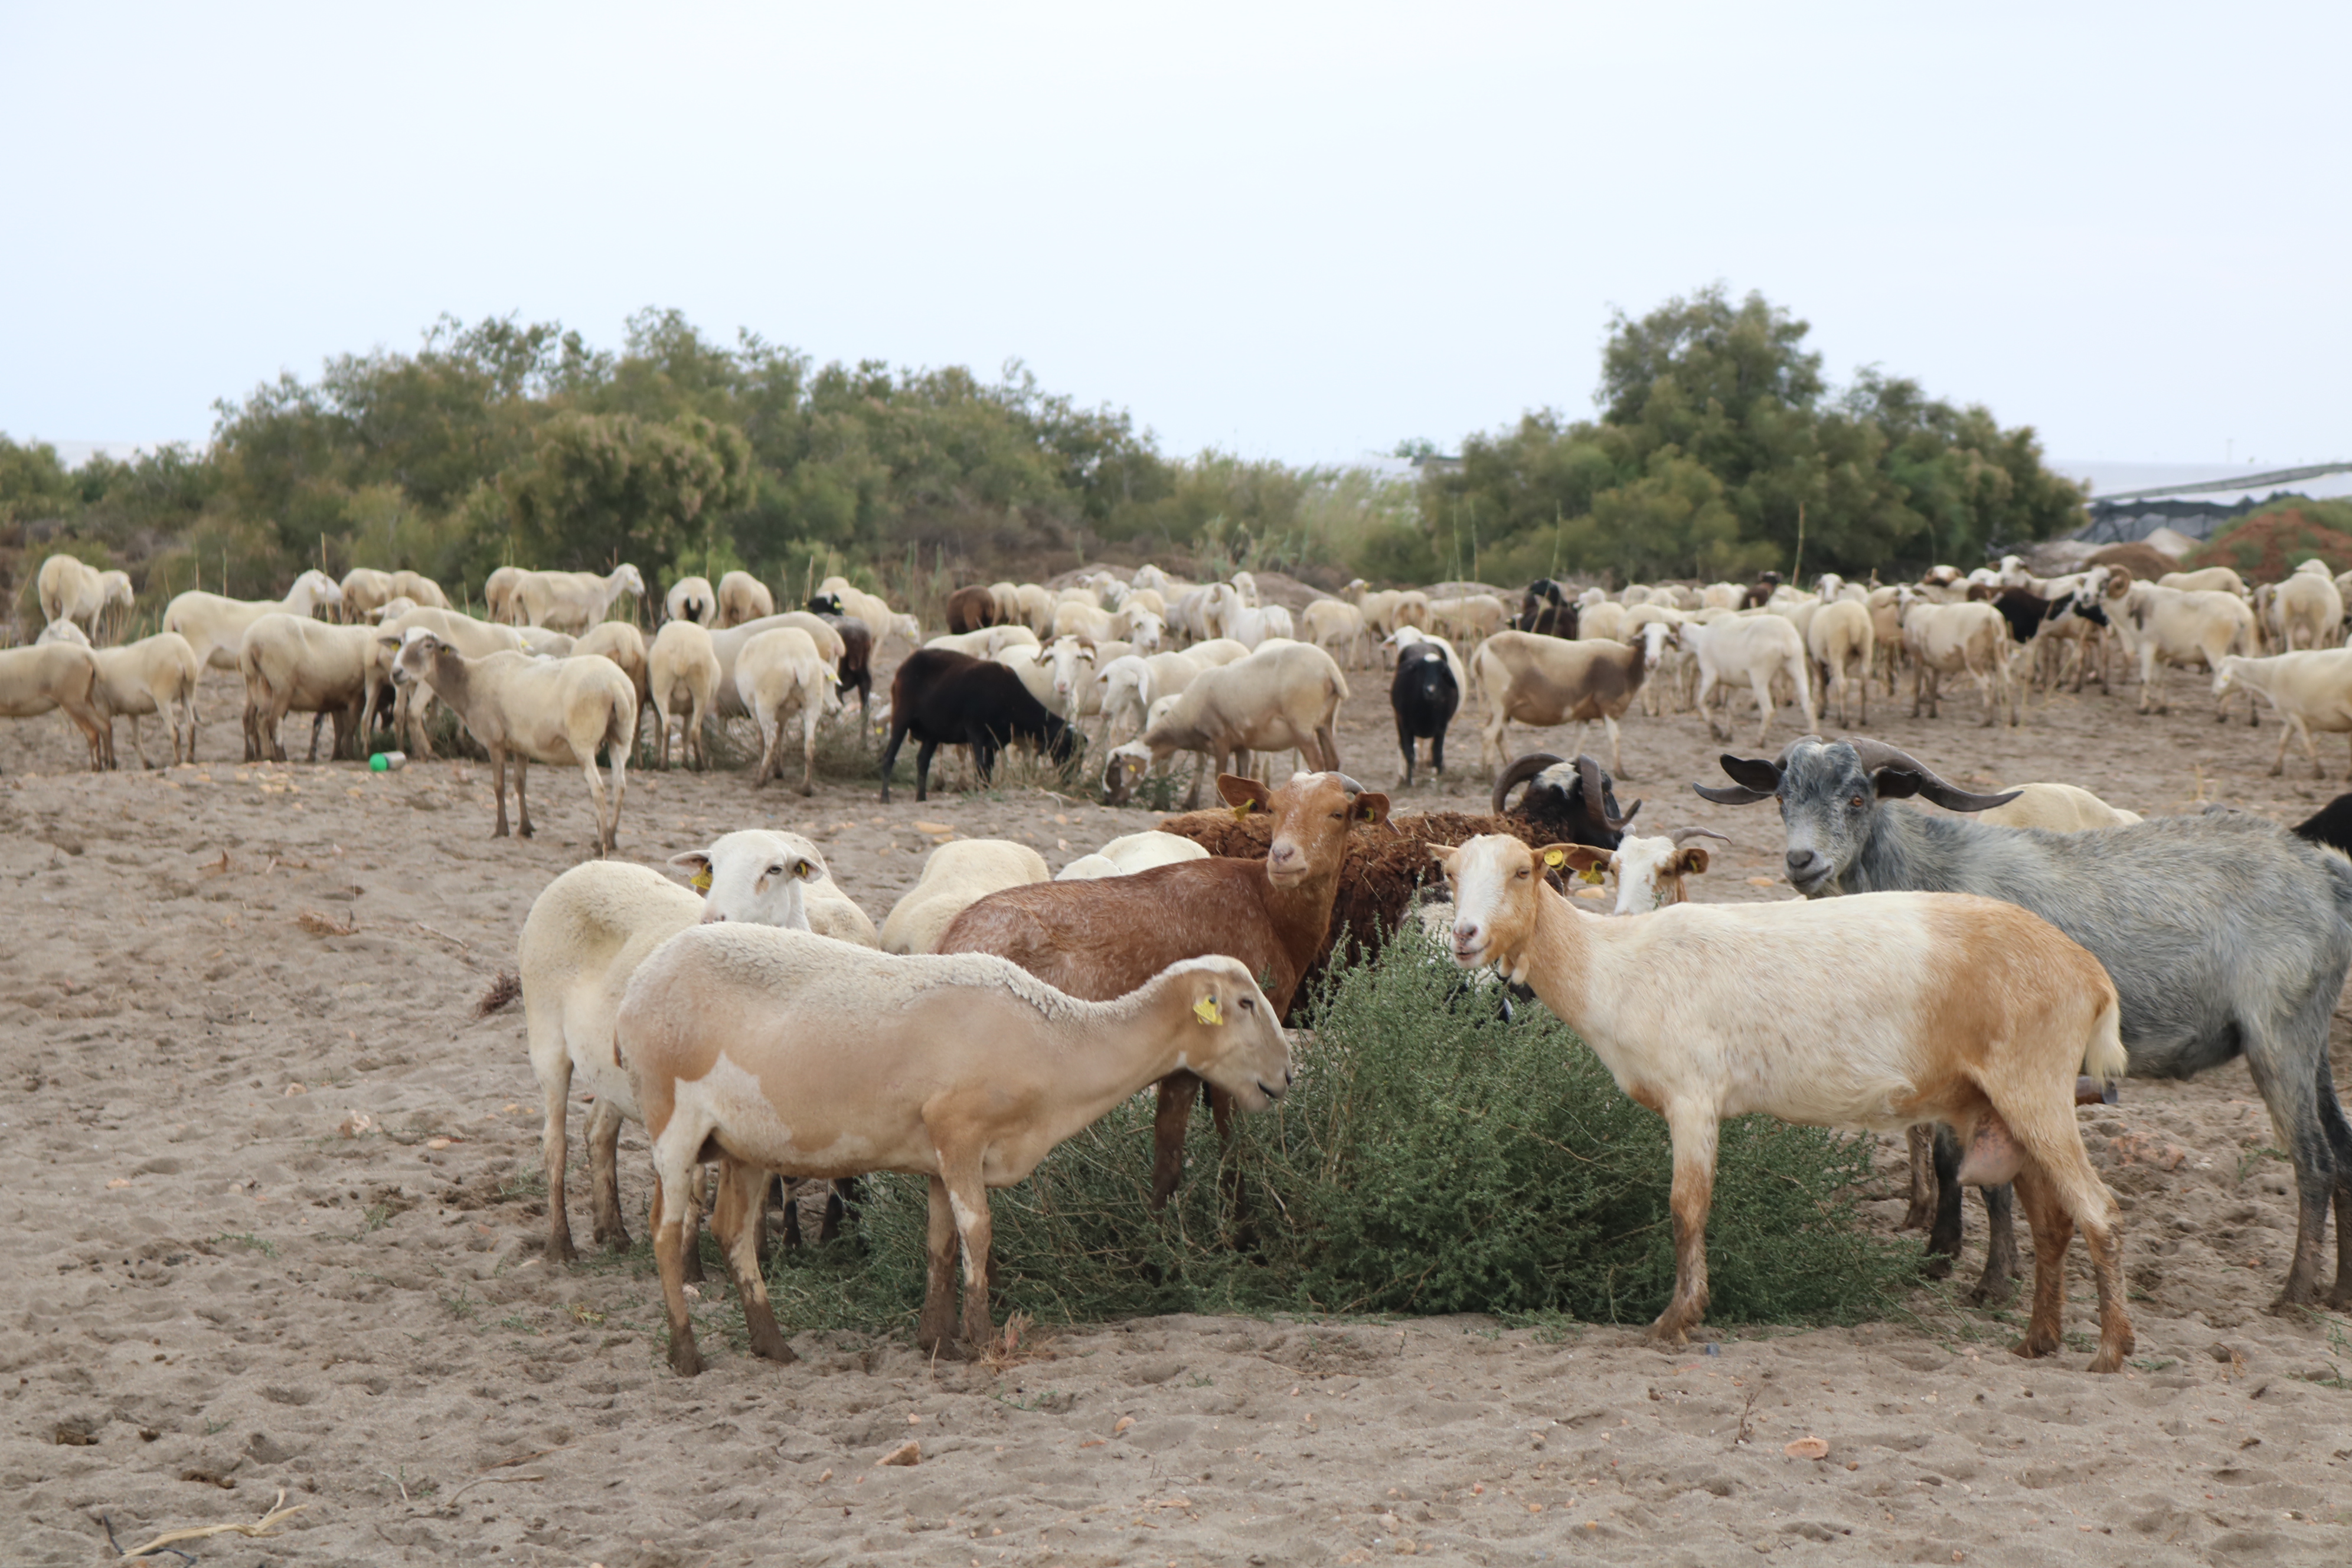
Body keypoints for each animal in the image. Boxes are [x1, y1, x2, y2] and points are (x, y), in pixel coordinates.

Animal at [1434, 832, 2133, 1370]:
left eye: (1523, 871)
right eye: (1449, 875)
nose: (1466, 935)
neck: (1614, 966)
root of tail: (2092, 975)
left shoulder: (1693, 1094)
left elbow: (1686, 1208)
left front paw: (1675, 1320)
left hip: (2033, 1085)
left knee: (2099, 1209)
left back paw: (2110, 1350)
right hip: (2009, 1106)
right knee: (2054, 1221)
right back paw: (2038, 1341)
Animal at [1696, 735, 2352, 1309]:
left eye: (1858, 798)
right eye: (1783, 798)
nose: (1801, 861)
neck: (1928, 884)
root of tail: (2325, 877)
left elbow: (1990, 1176)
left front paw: (1993, 1282)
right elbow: (1950, 1162)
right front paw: (1939, 1258)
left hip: (2280, 1036)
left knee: (2314, 1161)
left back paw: (2294, 1295)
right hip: (2310, 1039)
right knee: (2343, 1153)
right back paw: (2340, 1294)